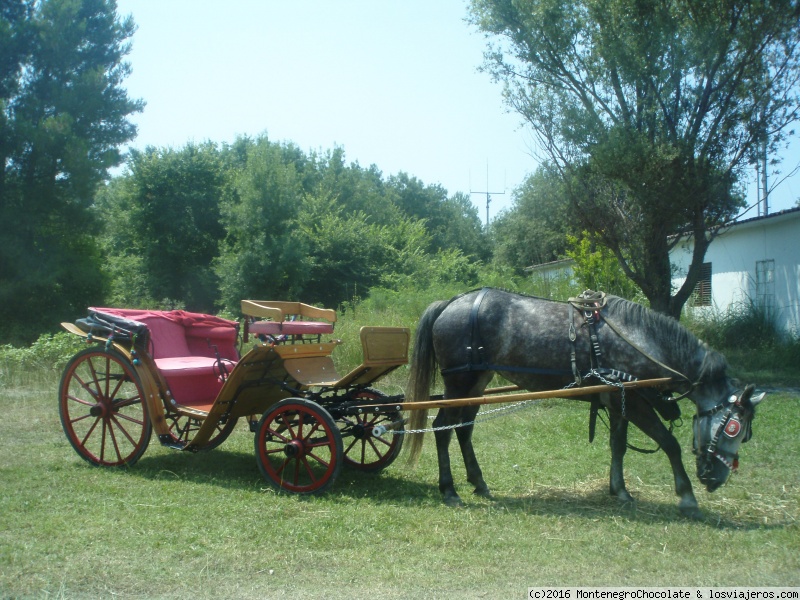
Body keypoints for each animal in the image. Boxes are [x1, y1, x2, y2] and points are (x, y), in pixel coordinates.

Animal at [406, 288, 764, 516]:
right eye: (734, 428)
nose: (715, 479)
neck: (640, 340)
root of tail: (450, 303)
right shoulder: (635, 402)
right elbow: (669, 443)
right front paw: (687, 496)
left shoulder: (619, 398)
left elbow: (618, 445)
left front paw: (619, 489)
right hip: (459, 382)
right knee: (442, 428)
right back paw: (449, 490)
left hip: (477, 382)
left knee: (464, 429)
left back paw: (478, 483)